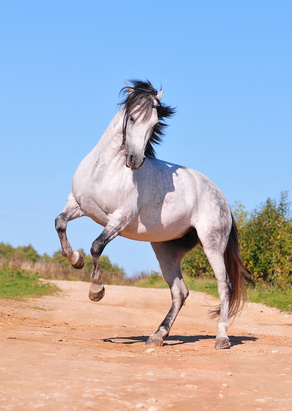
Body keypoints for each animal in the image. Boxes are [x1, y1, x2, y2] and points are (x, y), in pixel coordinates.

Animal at [55, 79, 249, 350]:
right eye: (132, 118)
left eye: (155, 123)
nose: (136, 161)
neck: (104, 171)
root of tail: (221, 197)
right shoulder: (77, 205)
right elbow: (60, 223)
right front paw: (75, 260)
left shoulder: (119, 219)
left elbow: (96, 246)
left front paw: (96, 291)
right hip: (166, 250)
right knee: (180, 292)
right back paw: (157, 335)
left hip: (212, 244)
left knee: (225, 286)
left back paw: (222, 338)